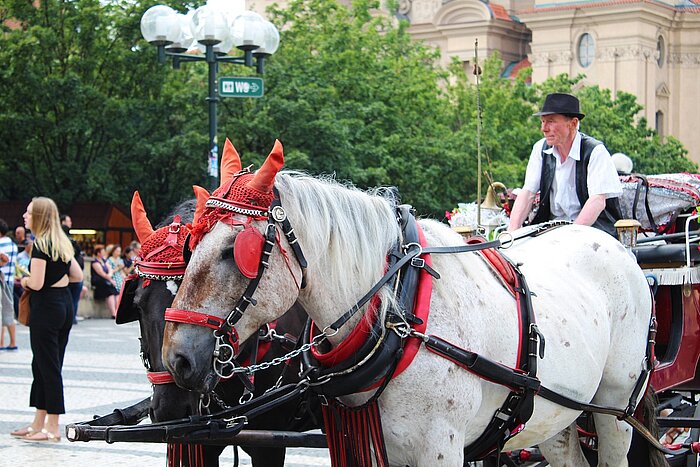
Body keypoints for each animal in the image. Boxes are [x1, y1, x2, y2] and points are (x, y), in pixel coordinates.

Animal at [164, 141, 656, 466]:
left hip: (615, 411)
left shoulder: (440, 449)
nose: (177, 358)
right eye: (192, 243)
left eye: (234, 251)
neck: (399, 316)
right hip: (556, 413)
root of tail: (618, 247)